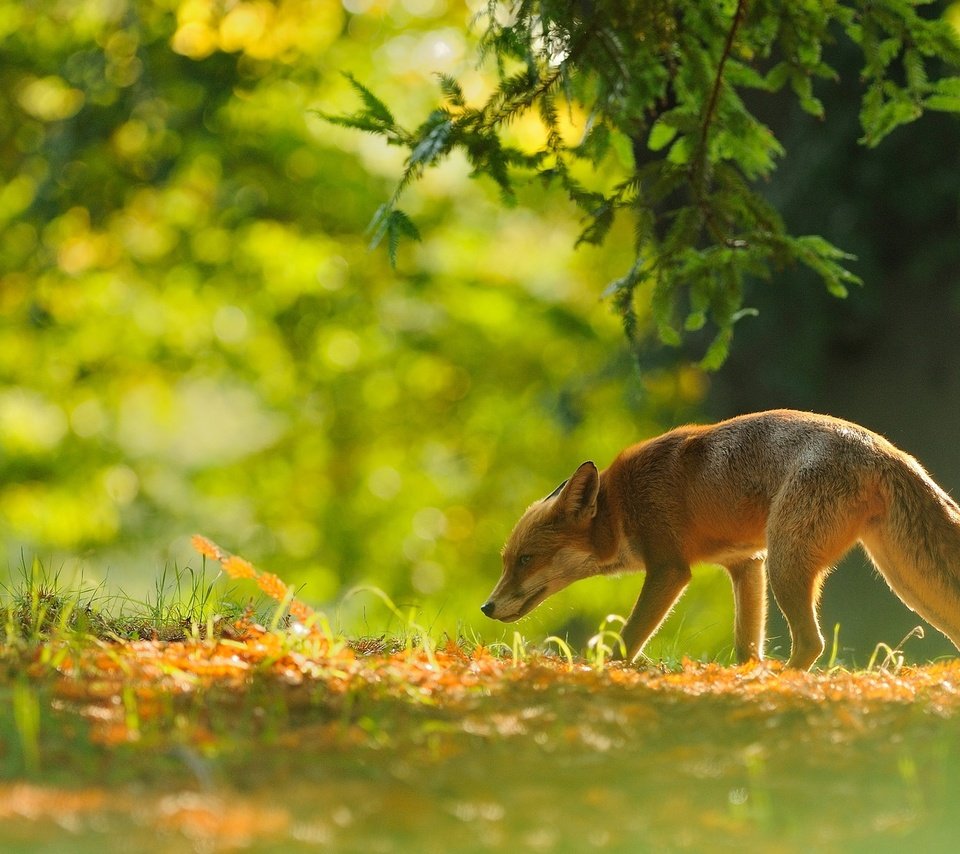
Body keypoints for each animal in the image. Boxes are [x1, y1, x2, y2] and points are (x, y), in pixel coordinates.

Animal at [480, 412, 960, 672]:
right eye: (506, 561)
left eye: (526, 559)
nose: (486, 607)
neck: (621, 504)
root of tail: (884, 449)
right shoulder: (746, 563)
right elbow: (747, 645)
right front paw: (744, 676)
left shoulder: (670, 568)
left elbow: (628, 640)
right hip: (898, 578)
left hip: (790, 563)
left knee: (812, 642)